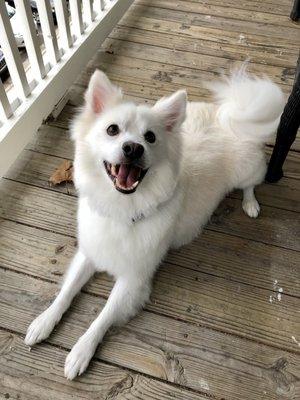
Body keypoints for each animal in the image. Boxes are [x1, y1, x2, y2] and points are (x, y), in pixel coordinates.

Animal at [24, 68, 284, 378]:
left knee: (251, 185)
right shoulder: (90, 253)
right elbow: (66, 292)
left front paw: (80, 351)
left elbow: (103, 316)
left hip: (247, 170)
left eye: (150, 137)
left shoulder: (133, 280)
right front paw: (44, 320)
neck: (122, 208)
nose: (133, 148)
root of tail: (228, 115)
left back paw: (250, 204)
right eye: (112, 130)